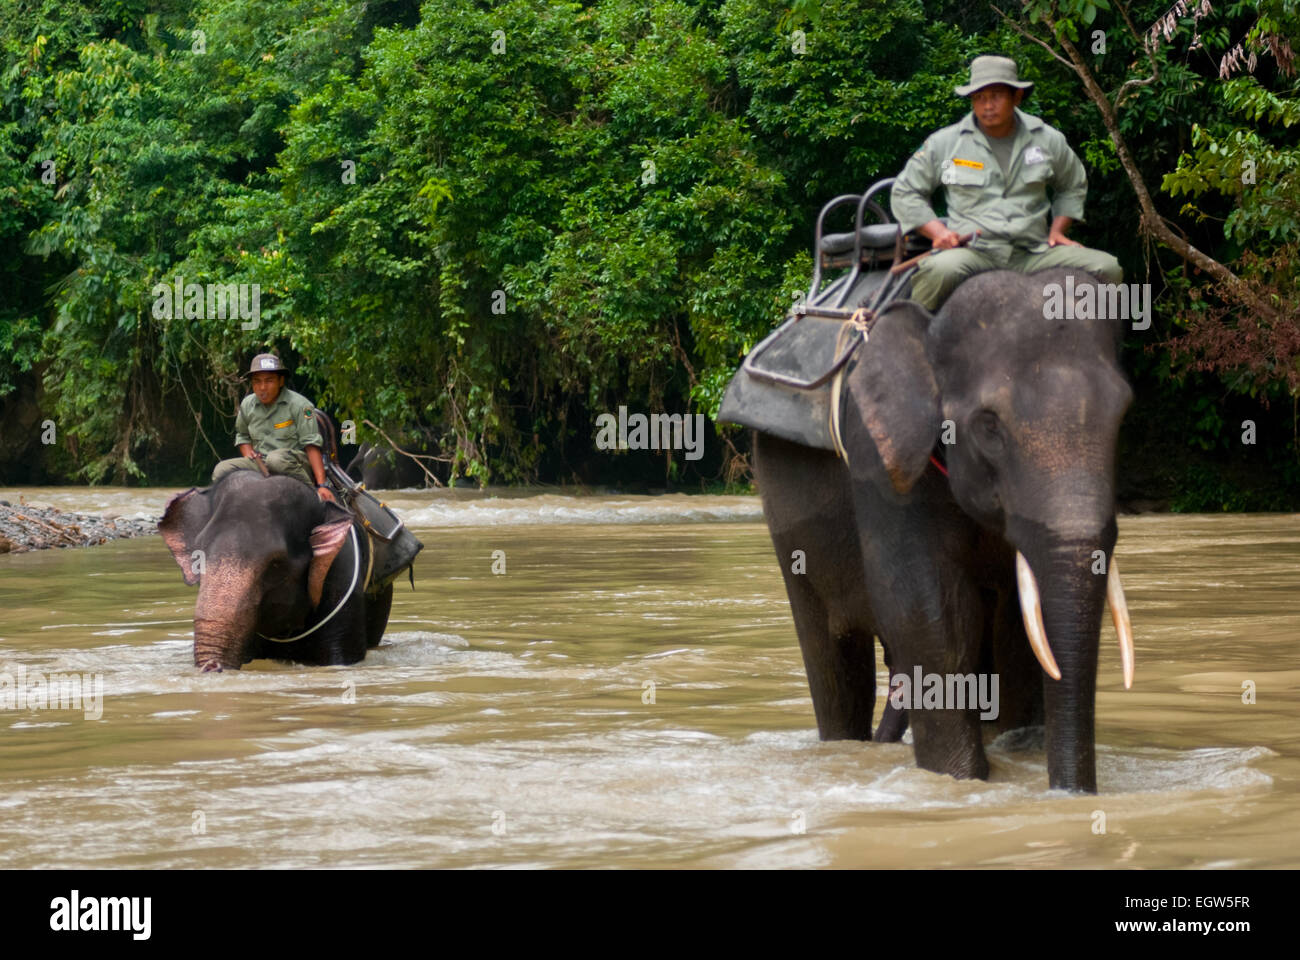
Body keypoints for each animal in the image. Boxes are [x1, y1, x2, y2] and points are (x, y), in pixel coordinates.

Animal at [759, 265, 1133, 790]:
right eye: (989, 426)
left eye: (1123, 415)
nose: (1071, 795)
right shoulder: (880, 454)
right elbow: (931, 613)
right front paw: (962, 781)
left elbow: (1014, 630)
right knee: (831, 654)